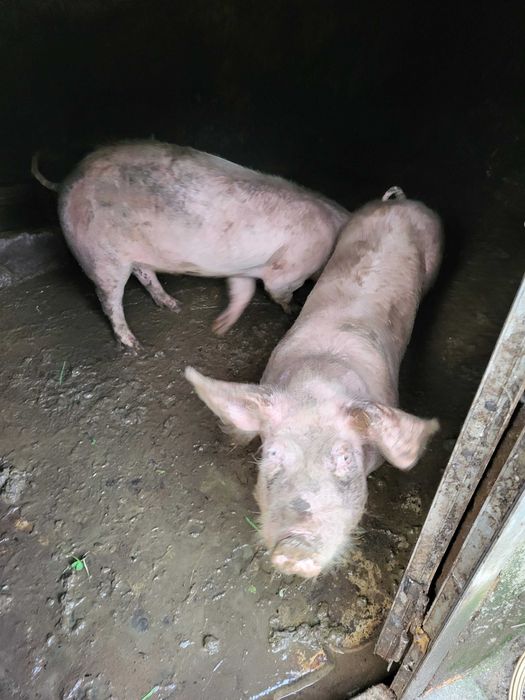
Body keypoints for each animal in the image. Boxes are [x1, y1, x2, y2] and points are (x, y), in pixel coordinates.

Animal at [31, 141, 349, 350]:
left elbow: (243, 291)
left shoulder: (243, 268)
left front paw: (219, 328)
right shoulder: (289, 268)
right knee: (108, 299)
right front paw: (293, 308)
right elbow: (278, 290)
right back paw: (134, 345)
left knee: (145, 274)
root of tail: (66, 180)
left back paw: (174, 306)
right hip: (101, 256)